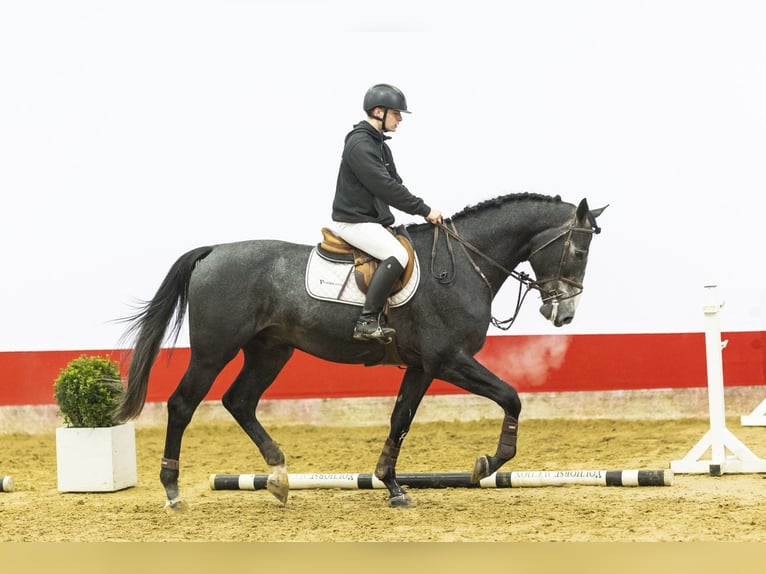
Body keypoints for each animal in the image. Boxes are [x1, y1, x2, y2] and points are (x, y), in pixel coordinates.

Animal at [114, 195, 608, 512]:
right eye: (577, 251)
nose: (563, 315)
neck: (464, 264)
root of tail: (213, 250)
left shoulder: (423, 366)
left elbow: (400, 420)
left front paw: (392, 486)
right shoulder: (449, 360)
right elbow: (511, 397)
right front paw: (487, 462)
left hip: (270, 351)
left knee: (240, 401)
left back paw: (278, 476)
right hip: (213, 351)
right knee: (182, 405)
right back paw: (173, 491)